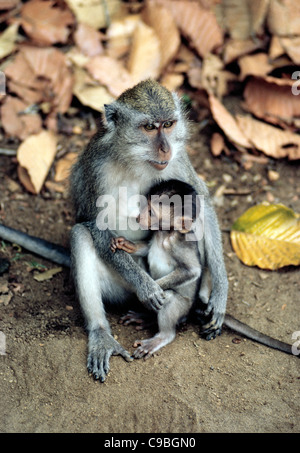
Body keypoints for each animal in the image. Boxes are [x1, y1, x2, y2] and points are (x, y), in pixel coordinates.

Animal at [111, 178, 203, 358]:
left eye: (151, 212)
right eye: (144, 205)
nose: (139, 217)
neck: (165, 234)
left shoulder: (179, 244)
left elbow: (192, 271)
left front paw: (151, 290)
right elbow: (147, 249)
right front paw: (127, 244)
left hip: (183, 308)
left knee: (170, 298)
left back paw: (161, 337)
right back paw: (145, 316)